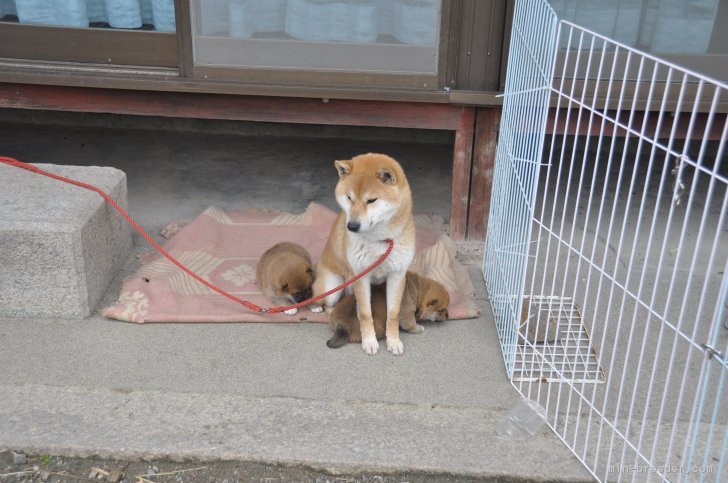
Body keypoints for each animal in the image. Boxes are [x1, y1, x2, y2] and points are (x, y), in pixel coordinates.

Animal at [312, 154, 418, 356]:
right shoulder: (361, 276)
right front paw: (369, 341)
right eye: (349, 198)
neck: (381, 240)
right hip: (333, 286)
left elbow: (393, 314)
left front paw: (393, 341)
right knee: (325, 302)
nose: (352, 226)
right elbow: (365, 314)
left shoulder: (397, 275)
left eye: (372, 200)